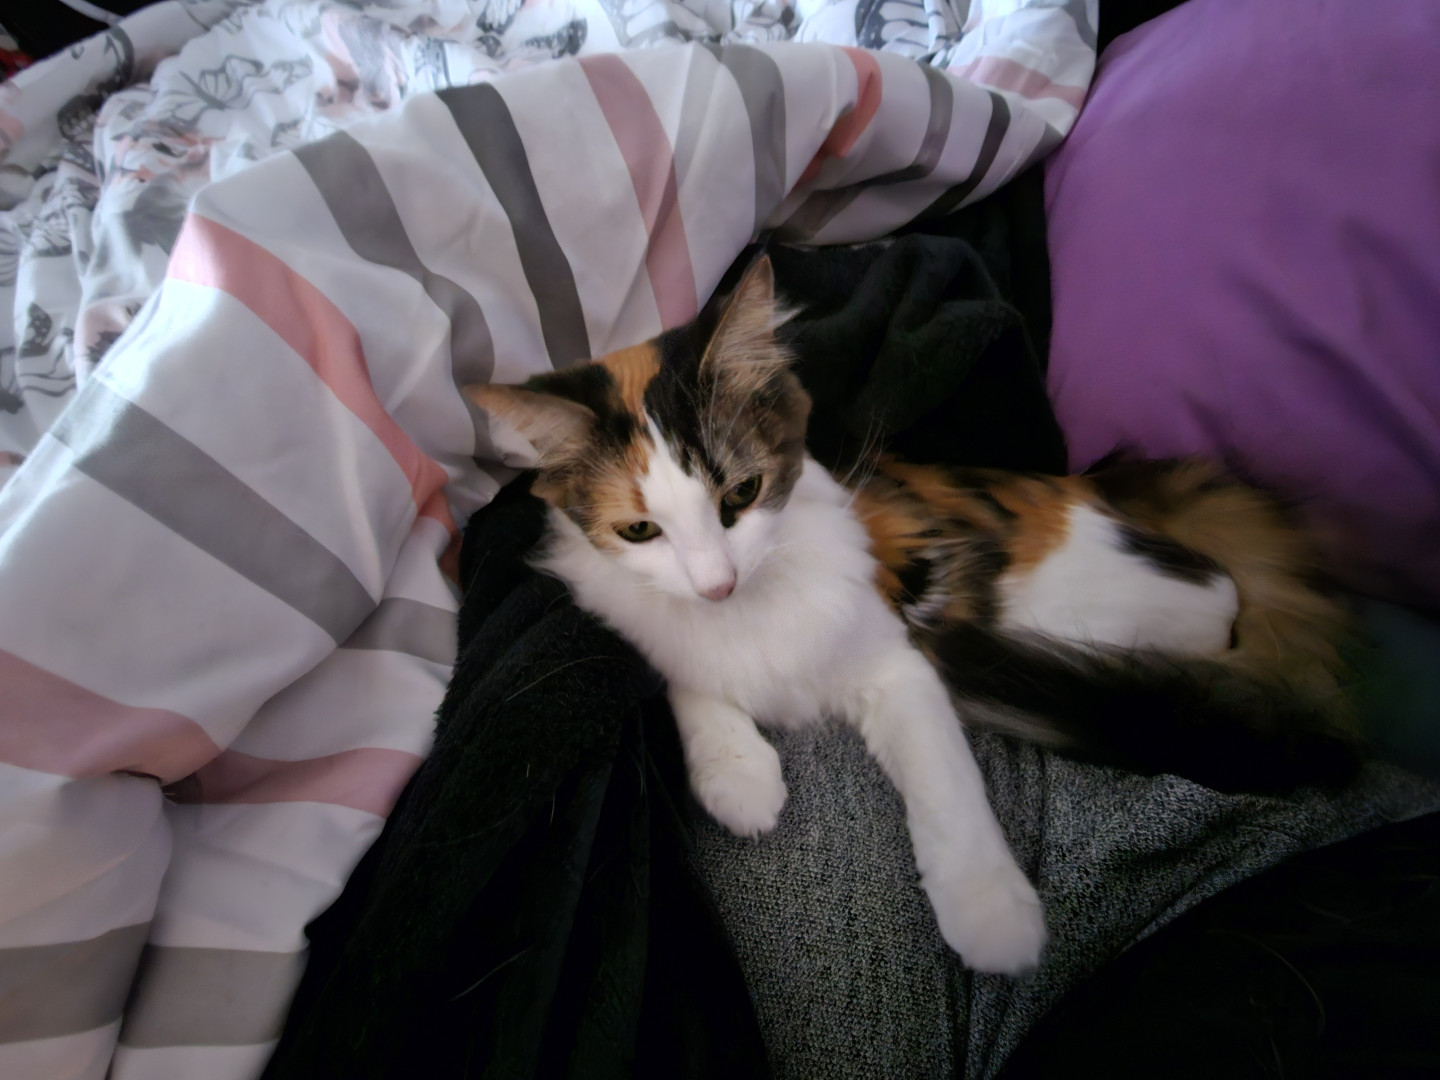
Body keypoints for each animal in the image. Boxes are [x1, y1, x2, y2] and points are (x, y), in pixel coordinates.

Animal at [466, 254, 1359, 974]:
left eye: (741, 495)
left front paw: (993, 915)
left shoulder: (894, 661)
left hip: (1110, 598)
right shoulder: (643, 621)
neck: (754, 604)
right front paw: (736, 771)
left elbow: (948, 787)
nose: (718, 585)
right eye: (639, 531)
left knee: (1207, 602)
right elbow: (691, 673)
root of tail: (1102, 487)